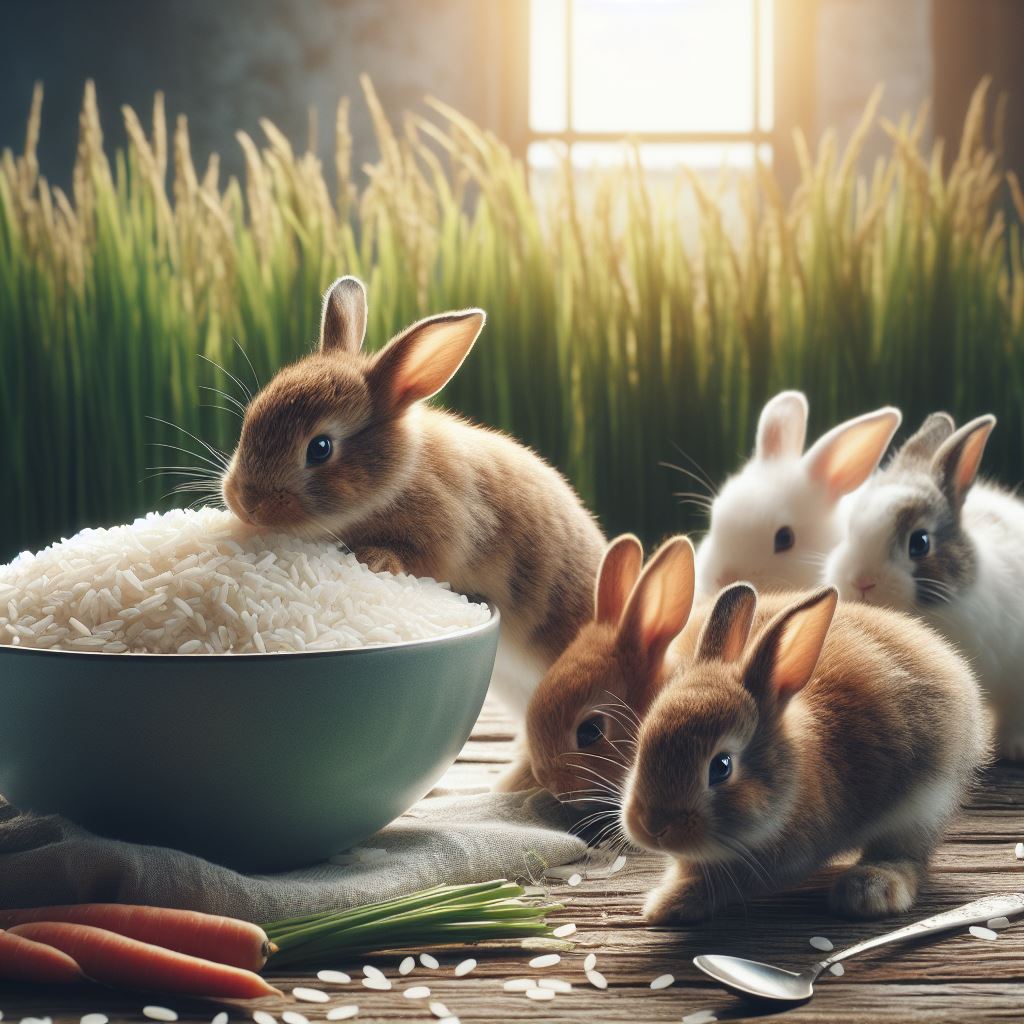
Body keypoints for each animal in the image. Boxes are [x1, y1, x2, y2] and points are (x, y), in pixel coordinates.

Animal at [223, 276, 602, 716]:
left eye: (319, 448)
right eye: (251, 417)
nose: (246, 503)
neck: (399, 475)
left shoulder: (448, 532)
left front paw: (373, 559)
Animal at [618, 581, 987, 925]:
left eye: (721, 766)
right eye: (643, 743)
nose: (652, 826)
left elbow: (721, 880)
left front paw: (668, 904)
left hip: (921, 808)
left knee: (908, 856)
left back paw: (870, 889)